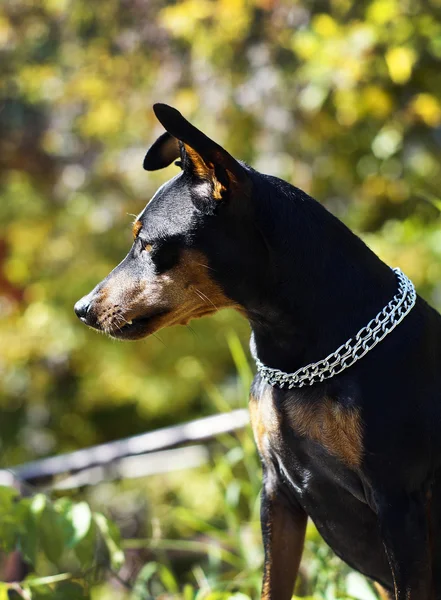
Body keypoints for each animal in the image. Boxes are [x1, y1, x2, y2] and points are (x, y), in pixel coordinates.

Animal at [74, 105, 440, 596]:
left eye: (147, 243)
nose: (82, 309)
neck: (299, 359)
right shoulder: (277, 492)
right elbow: (273, 585)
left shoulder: (399, 502)